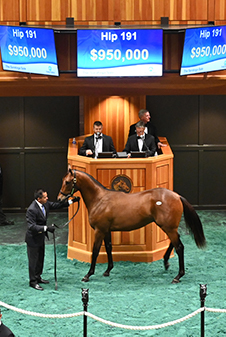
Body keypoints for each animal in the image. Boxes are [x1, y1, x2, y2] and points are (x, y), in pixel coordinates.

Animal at [57, 167, 206, 282]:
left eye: (67, 182)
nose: (59, 199)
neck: (100, 200)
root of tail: (177, 196)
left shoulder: (99, 230)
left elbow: (95, 251)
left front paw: (88, 275)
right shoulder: (106, 230)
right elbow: (109, 248)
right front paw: (108, 270)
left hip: (168, 227)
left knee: (179, 247)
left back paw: (178, 276)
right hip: (168, 227)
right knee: (175, 242)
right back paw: (166, 262)